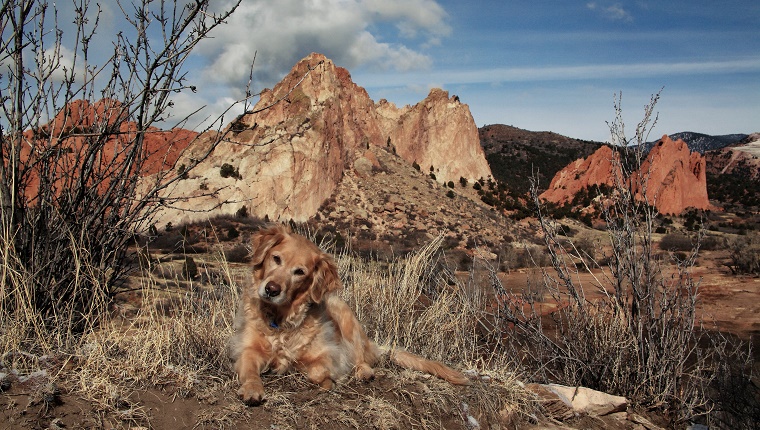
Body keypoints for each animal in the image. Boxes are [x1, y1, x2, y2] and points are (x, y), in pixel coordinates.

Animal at [229, 223, 472, 404]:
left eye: (299, 272)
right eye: (276, 258)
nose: (271, 290)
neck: (281, 320)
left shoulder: (330, 353)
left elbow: (317, 371)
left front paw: (328, 381)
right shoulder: (247, 348)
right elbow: (249, 369)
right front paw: (252, 389)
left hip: (345, 316)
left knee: (361, 359)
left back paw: (363, 372)